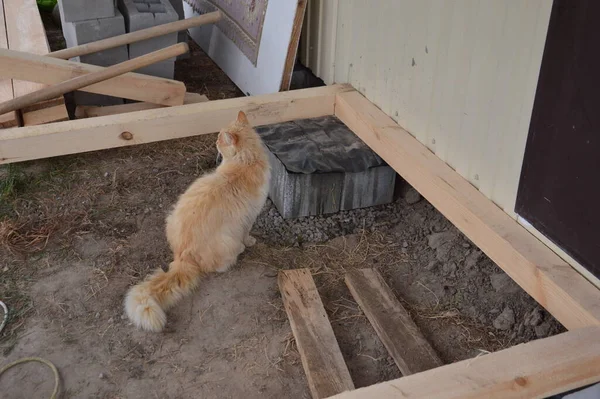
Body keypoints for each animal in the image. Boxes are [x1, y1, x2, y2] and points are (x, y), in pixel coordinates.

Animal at [126, 111, 272, 332]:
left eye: (219, 139)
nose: (215, 142)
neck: (245, 161)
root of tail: (182, 255)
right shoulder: (249, 217)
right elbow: (247, 234)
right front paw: (249, 242)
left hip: (170, 216)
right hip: (227, 241)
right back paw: (239, 250)